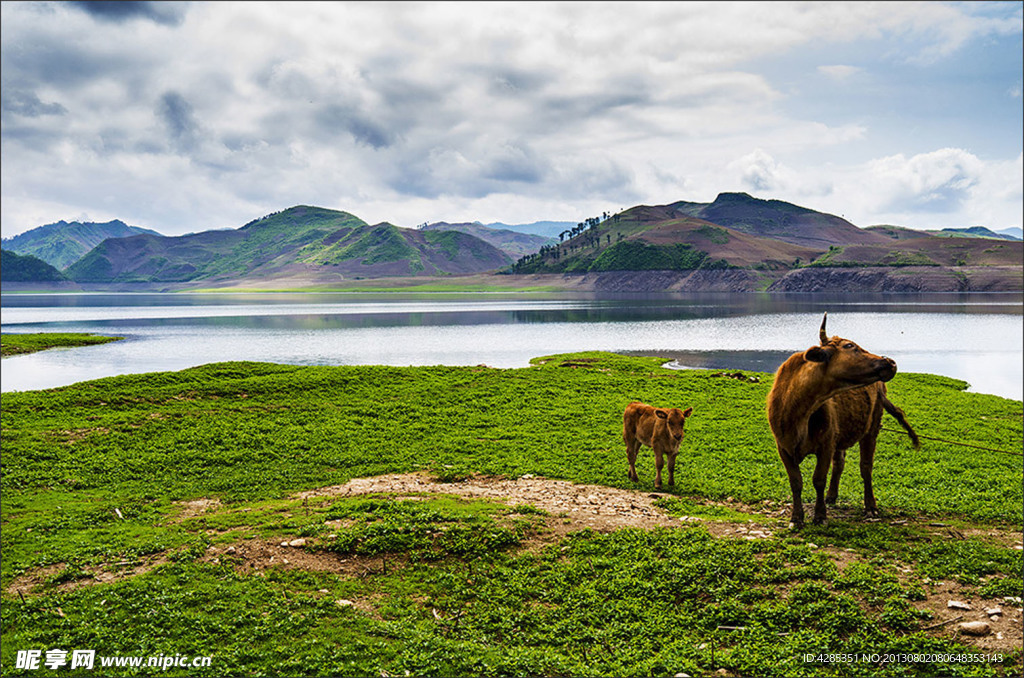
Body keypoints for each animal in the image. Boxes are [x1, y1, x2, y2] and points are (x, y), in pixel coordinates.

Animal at [765, 315, 917, 532]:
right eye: (849, 346)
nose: (890, 362)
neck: (798, 409)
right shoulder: (783, 447)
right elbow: (796, 482)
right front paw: (796, 518)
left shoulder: (825, 445)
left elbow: (818, 479)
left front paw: (820, 516)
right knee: (840, 463)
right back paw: (831, 496)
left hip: (872, 429)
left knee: (866, 467)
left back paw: (870, 507)